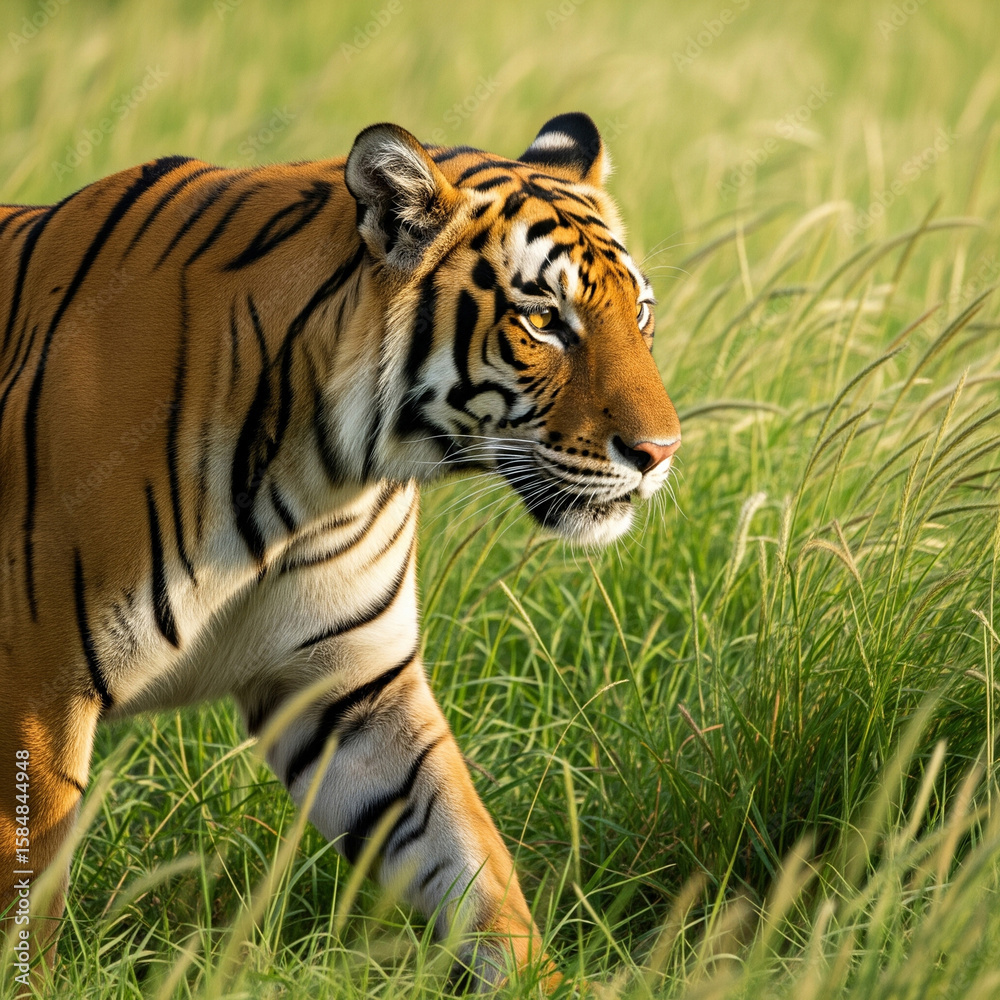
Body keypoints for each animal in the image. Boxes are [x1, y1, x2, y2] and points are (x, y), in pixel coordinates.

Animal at [0, 112, 680, 989]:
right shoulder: (36, 692)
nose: (660, 452)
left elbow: (470, 860)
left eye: (642, 314)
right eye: (543, 321)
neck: (320, 473)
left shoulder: (353, 685)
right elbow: (27, 905)